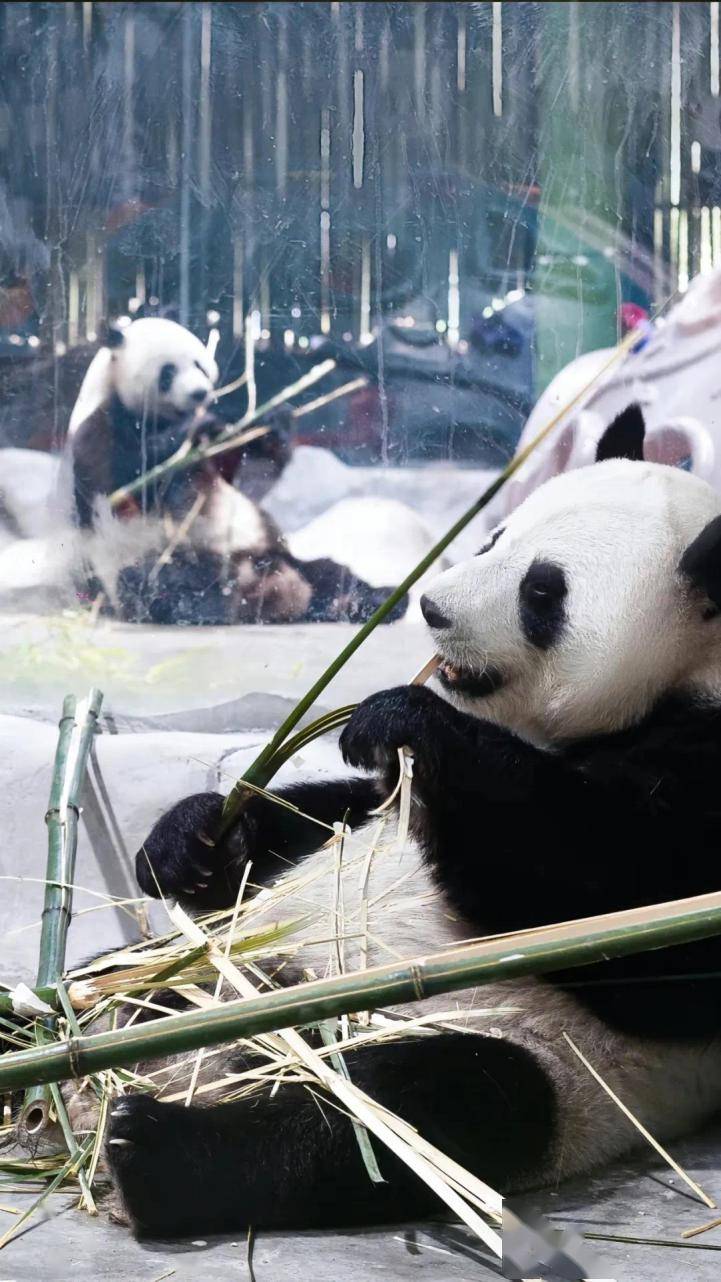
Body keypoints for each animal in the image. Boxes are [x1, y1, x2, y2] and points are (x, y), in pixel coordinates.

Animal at [68, 405, 721, 1235]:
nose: (432, 607)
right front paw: (192, 841)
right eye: (492, 538)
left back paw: (154, 1148)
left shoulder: (703, 772)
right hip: (211, 965)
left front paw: (408, 718)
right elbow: (340, 816)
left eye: (543, 593)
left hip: (535, 1059)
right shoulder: (379, 811)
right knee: (123, 979)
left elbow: (639, 926)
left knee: (403, 1112)